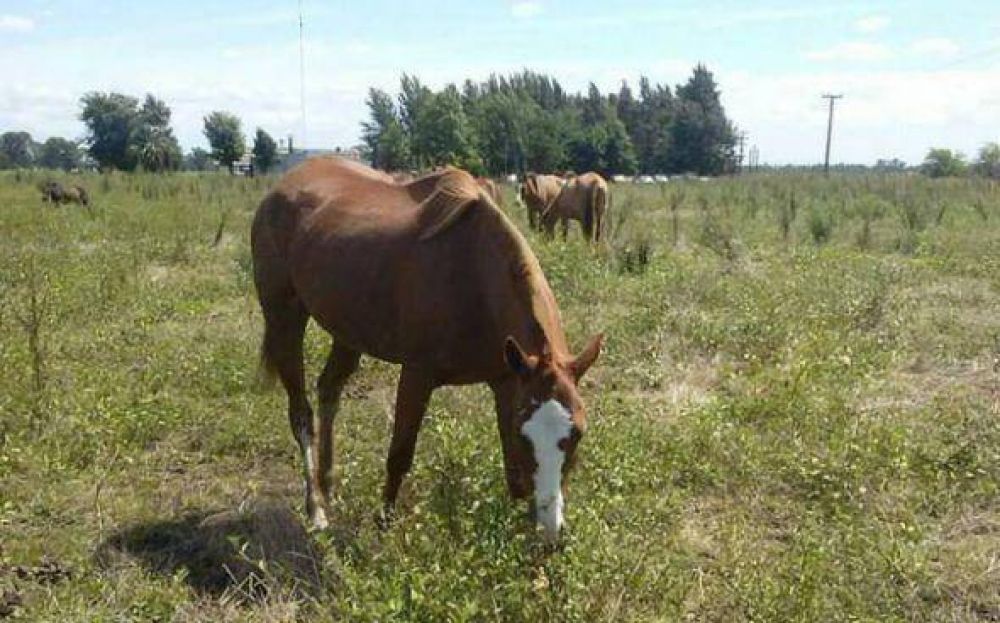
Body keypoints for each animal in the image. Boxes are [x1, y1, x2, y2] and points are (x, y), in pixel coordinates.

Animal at [251, 157, 602, 542]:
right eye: (525, 434)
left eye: (578, 434)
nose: (551, 532)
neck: (472, 276)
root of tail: (281, 188)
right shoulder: (417, 376)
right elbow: (400, 454)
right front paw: (383, 525)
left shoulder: (507, 380)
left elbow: (513, 472)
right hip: (285, 319)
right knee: (301, 413)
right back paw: (315, 507)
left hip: (348, 333)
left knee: (329, 389)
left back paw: (327, 486)